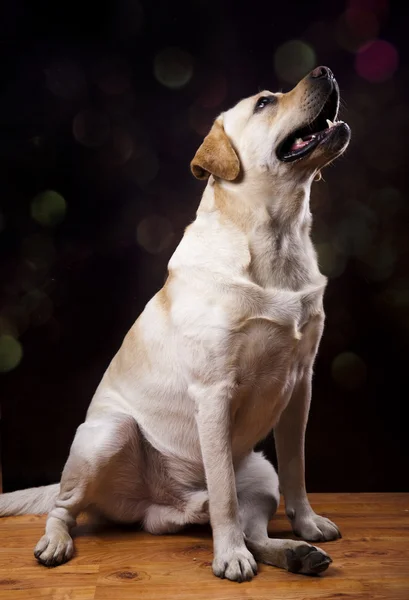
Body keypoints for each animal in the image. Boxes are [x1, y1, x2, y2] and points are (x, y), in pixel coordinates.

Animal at [0, 64, 350, 580]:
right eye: (265, 102)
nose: (325, 69)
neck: (276, 238)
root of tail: (164, 509)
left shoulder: (301, 385)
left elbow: (297, 469)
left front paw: (306, 525)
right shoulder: (214, 391)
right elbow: (223, 493)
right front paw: (228, 557)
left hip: (259, 473)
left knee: (254, 524)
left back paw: (295, 552)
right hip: (109, 434)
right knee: (64, 508)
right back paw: (57, 543)